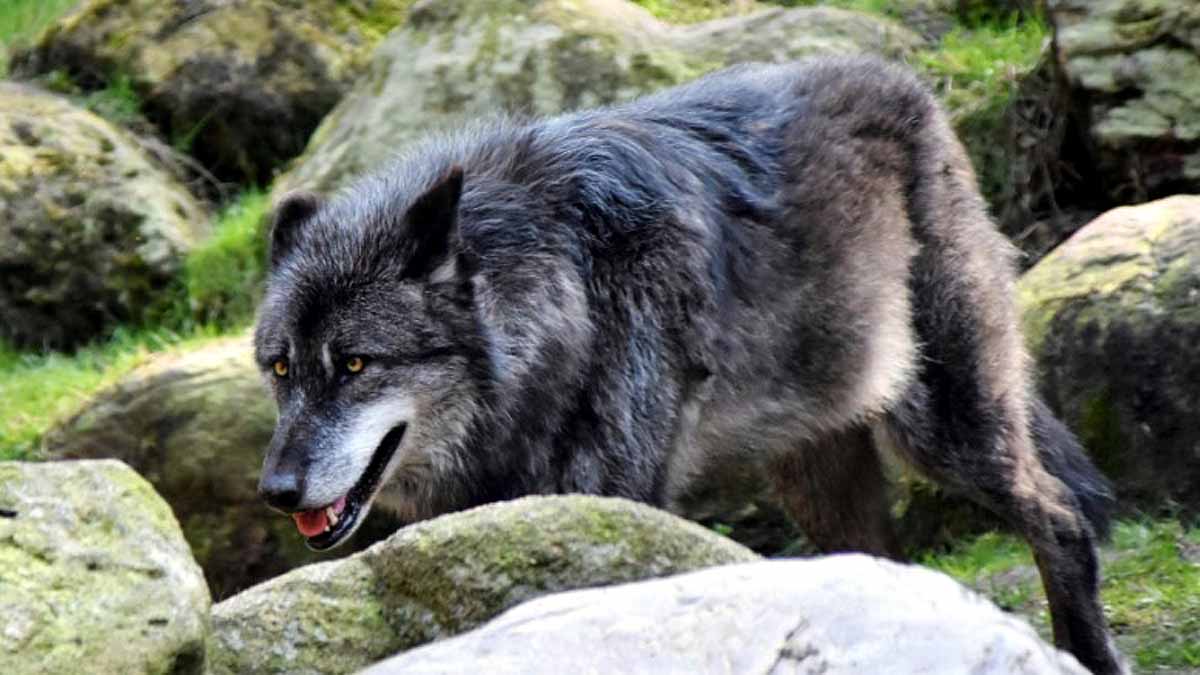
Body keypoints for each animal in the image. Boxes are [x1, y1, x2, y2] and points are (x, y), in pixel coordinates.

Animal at [254, 57, 1124, 673]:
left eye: (356, 363)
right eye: (281, 369)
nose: (276, 490)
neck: (565, 296)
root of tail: (909, 89)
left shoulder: (611, 500)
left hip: (942, 425)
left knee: (1059, 518)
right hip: (817, 478)